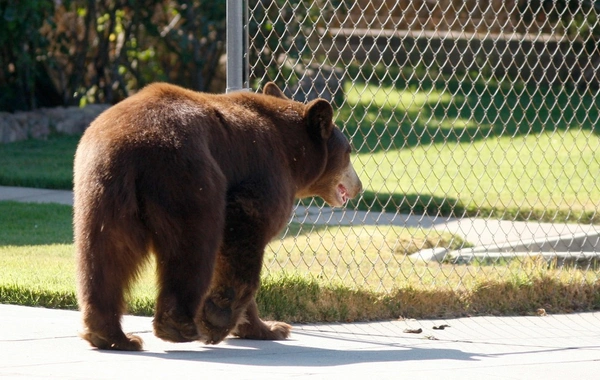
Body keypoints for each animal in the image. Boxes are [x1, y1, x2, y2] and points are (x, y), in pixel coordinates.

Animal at [70, 82, 360, 350]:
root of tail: (131, 144)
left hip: (102, 191)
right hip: (187, 177)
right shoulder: (265, 173)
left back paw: (112, 335)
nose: (358, 186)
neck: (294, 155)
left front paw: (269, 327)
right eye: (348, 152)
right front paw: (219, 318)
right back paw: (180, 326)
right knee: (193, 245)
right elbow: (244, 232)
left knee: (105, 255)